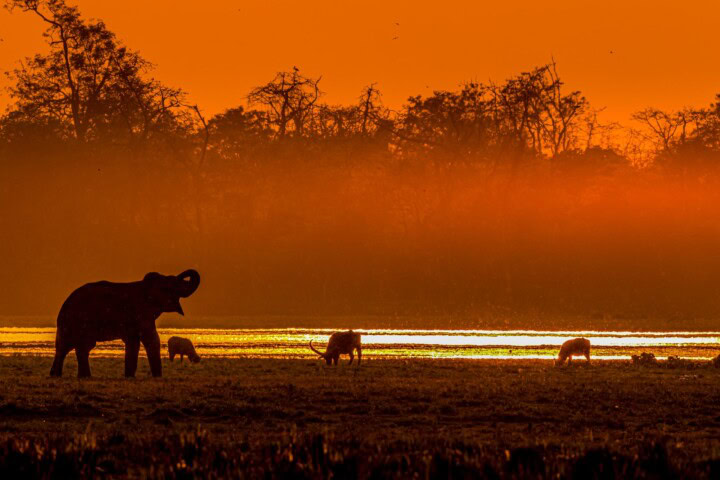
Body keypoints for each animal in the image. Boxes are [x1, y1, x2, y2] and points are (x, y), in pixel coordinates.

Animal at [49, 269, 200, 378]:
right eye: (173, 285)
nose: (183, 275)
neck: (146, 286)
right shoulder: (141, 312)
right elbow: (151, 339)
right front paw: (157, 377)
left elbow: (133, 342)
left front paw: (129, 377)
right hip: (76, 321)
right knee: (71, 346)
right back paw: (70, 376)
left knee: (75, 347)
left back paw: (68, 376)